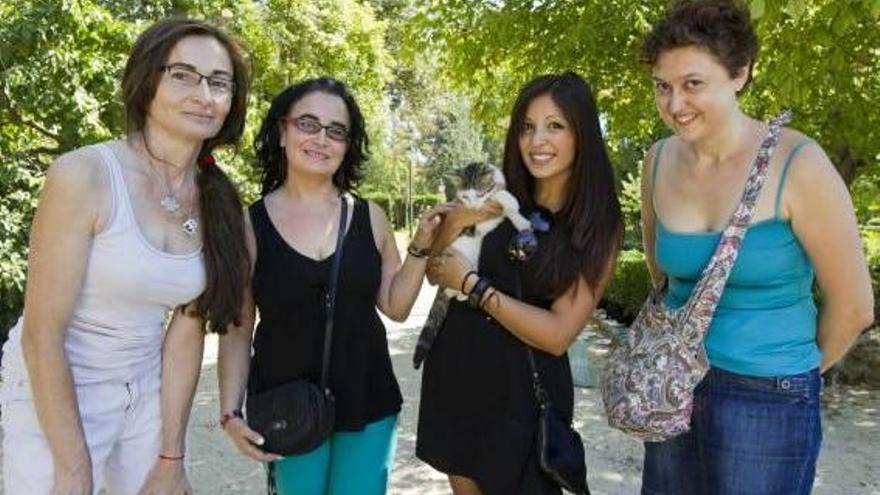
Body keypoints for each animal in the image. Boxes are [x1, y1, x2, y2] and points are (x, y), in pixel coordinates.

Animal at [412, 161, 528, 370]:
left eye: (479, 194)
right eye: (465, 196)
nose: (473, 206)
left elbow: (501, 197)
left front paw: (520, 220)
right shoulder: (474, 224)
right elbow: (498, 202)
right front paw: (510, 203)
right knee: (451, 289)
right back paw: (461, 290)